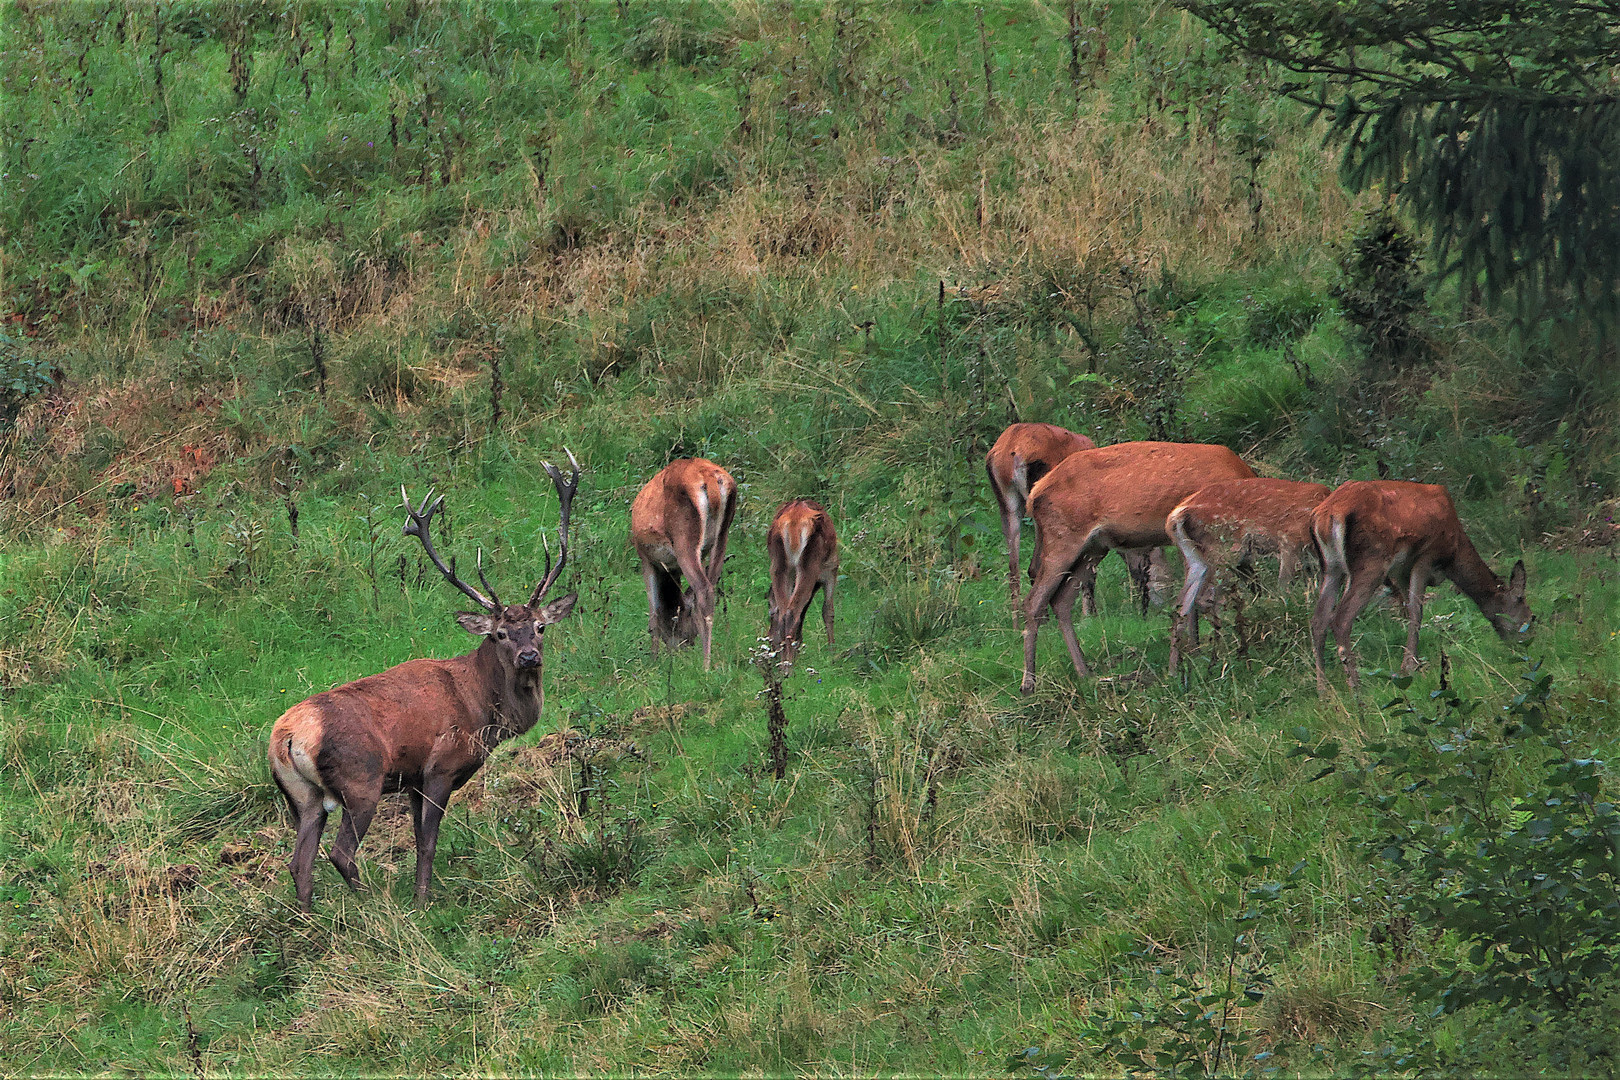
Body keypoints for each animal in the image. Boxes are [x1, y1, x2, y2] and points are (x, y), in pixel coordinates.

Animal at [628, 453, 738, 667]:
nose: (684, 646)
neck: (669, 572)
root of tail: (709, 477)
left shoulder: (646, 558)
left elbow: (653, 614)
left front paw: (653, 661)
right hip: (722, 536)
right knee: (710, 586)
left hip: (684, 537)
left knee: (704, 590)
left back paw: (706, 665)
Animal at [761, 501, 835, 667]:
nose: (770, 645)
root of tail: (794, 520)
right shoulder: (831, 569)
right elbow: (828, 611)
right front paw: (833, 651)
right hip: (810, 562)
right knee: (792, 611)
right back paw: (788, 666)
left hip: (778, 564)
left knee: (784, 611)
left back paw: (785, 662)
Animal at [1017, 443, 1257, 696]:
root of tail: (1034, 494)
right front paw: (1193, 653)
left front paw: (1194, 651)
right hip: (1063, 536)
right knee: (1033, 601)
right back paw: (1029, 683)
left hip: (1094, 547)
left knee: (1060, 601)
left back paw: (1086, 674)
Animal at [1166, 476, 1328, 670]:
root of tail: (1175, 516)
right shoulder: (1289, 539)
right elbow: (1284, 589)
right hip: (1224, 549)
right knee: (1206, 600)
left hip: (1197, 560)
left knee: (1181, 605)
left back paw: (1176, 669)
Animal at [1302, 479, 1529, 693]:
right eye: (1525, 606)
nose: (1528, 638)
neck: (1453, 553)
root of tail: (1325, 516)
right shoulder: (1425, 556)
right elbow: (1417, 611)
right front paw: (1409, 667)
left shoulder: (1401, 570)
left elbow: (1409, 609)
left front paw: (1412, 662)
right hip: (1371, 560)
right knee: (1341, 618)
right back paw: (1356, 688)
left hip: (1331, 567)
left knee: (1318, 620)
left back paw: (1323, 690)